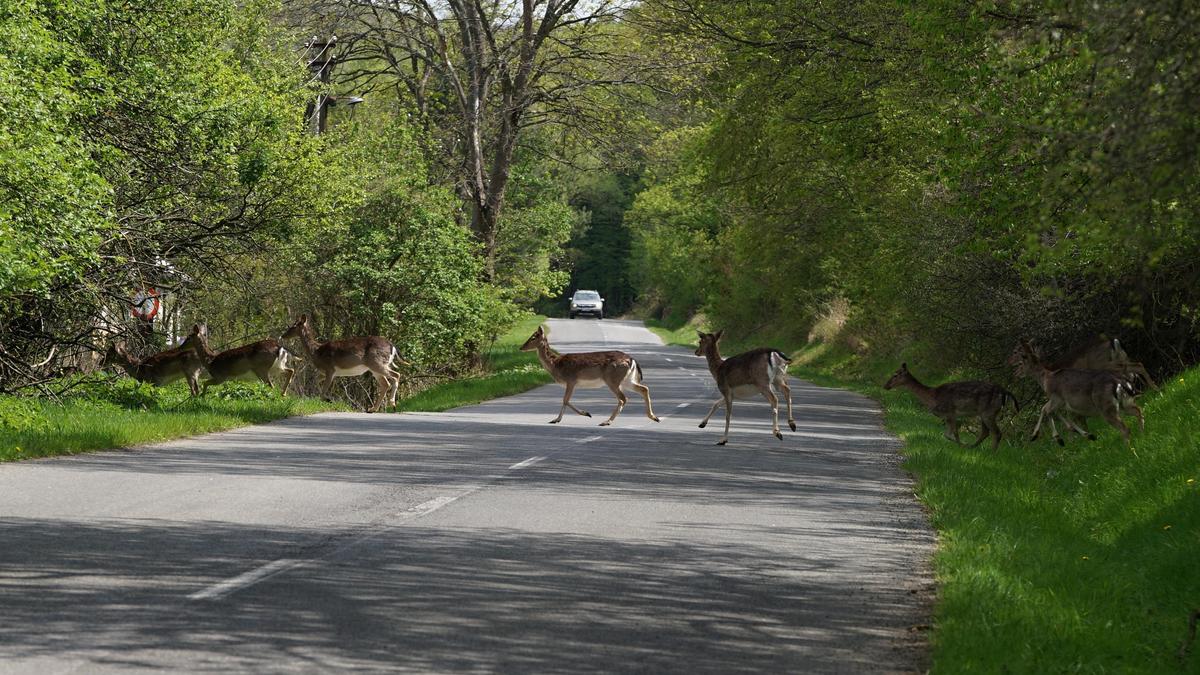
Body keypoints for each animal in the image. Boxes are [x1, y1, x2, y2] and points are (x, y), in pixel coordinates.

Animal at [520, 324, 662, 422]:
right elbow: (566, 400)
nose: (521, 347)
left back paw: (607, 421)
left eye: (533, 337)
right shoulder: (572, 382)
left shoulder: (571, 379)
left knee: (623, 398)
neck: (555, 364)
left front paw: (564, 418)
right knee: (644, 388)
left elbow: (565, 400)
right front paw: (558, 419)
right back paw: (654, 417)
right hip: (626, 380)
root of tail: (631, 359)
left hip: (612, 378)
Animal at [878, 360, 1017, 449]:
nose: (885, 385)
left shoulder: (950, 411)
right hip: (984, 413)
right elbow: (949, 434)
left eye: (895, 375)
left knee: (996, 433)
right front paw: (963, 445)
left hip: (989, 411)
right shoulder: (949, 415)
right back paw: (974, 447)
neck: (932, 396)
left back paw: (990, 451)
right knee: (986, 432)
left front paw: (962, 445)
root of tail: (1005, 392)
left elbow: (952, 434)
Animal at [1003, 338, 1142, 444]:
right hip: (1123, 397)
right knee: (1137, 406)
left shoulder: (1058, 399)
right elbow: (1062, 415)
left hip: (1107, 400)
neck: (1046, 377)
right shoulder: (1064, 404)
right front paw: (1084, 435)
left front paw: (1055, 438)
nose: (1015, 374)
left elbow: (1047, 410)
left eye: (1021, 360)